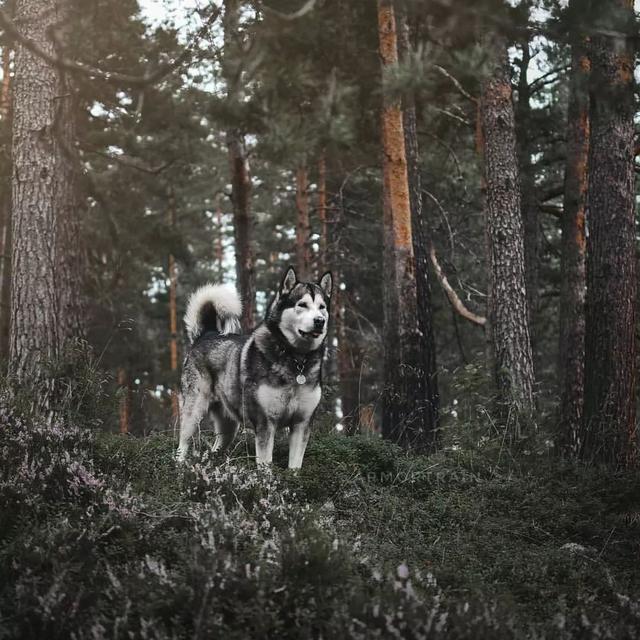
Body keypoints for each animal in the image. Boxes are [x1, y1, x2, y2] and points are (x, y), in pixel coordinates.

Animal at [178, 266, 332, 470]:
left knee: (216, 449)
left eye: (322, 307)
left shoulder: (302, 424)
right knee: (182, 445)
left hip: (228, 427)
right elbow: (266, 465)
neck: (296, 360)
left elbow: (294, 467)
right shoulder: (265, 423)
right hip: (194, 412)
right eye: (302, 305)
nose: (320, 321)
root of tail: (207, 333)